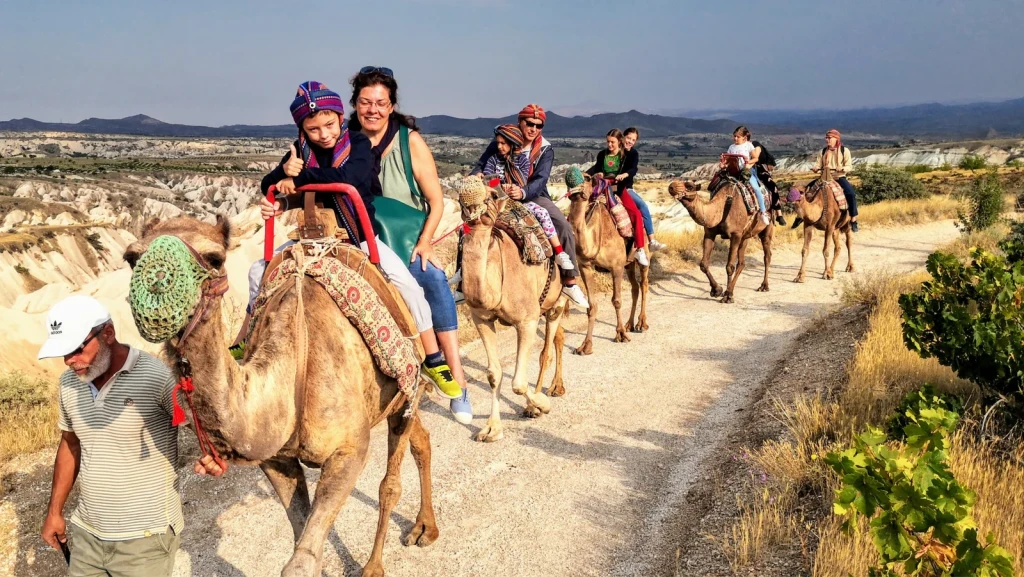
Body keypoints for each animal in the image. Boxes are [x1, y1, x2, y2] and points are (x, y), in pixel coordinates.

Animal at [123, 215, 437, 577]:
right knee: (421, 440)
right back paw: (425, 528)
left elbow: (302, 561)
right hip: (396, 401)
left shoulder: (349, 450)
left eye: (214, 258)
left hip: (405, 385)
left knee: (391, 482)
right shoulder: (276, 460)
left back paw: (377, 563)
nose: (156, 301)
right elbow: (300, 534)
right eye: (132, 257)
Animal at [459, 187, 569, 442]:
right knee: (557, 339)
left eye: (489, 196)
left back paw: (539, 401)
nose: (471, 202)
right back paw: (555, 388)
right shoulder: (482, 319)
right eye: (460, 198)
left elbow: (518, 383)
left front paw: (541, 404)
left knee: (546, 351)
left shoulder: (526, 320)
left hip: (557, 302)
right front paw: (491, 429)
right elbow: (493, 374)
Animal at [567, 175, 649, 355]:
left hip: (644, 254)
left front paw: (620, 335)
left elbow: (616, 301)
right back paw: (629, 324)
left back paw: (641, 323)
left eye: (585, 182)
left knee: (644, 284)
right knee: (634, 287)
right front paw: (585, 345)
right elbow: (591, 305)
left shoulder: (616, 266)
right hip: (629, 264)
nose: (574, 190)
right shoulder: (585, 267)